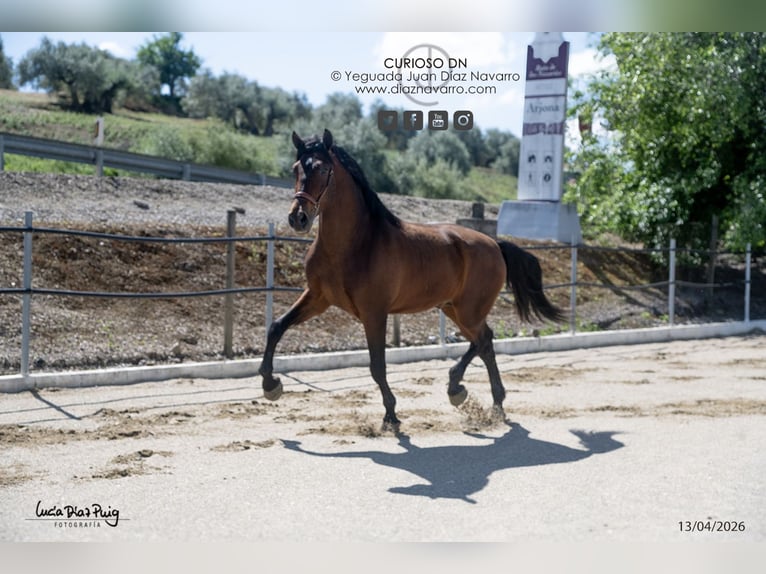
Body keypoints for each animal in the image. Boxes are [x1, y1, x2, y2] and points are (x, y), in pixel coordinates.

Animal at [259, 129, 564, 429]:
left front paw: (391, 415)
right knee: (485, 343)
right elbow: (276, 327)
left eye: (322, 169)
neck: (354, 243)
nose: (298, 218)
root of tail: (495, 244)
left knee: (483, 340)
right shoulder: (318, 297)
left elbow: (377, 365)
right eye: (296, 168)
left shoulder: (374, 312)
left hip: (468, 311)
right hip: (453, 309)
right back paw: (486, 401)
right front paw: (270, 384)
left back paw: (464, 391)